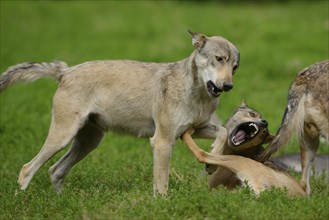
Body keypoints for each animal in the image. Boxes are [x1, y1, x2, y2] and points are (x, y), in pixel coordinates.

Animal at [0, 30, 238, 194]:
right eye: (218, 59)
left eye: (234, 67)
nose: (228, 86)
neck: (197, 93)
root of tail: (66, 71)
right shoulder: (162, 141)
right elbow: (162, 183)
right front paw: (162, 204)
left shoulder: (194, 129)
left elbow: (223, 132)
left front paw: (212, 160)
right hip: (62, 137)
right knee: (27, 168)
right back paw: (21, 201)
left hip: (88, 142)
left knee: (55, 170)